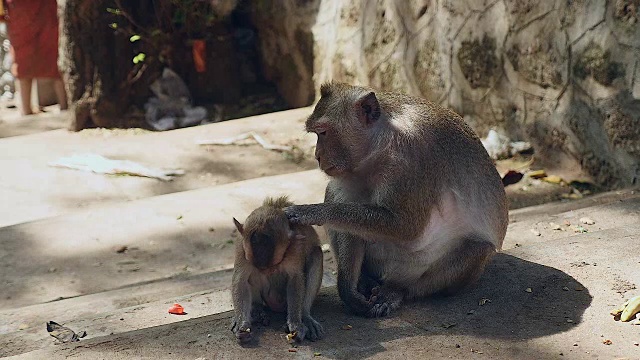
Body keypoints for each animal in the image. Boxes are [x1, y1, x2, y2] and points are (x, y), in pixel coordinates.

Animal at [230, 195, 324, 344]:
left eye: (275, 265)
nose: (275, 301)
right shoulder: (241, 246)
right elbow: (241, 280)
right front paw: (241, 325)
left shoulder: (296, 247)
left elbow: (295, 278)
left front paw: (295, 324)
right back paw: (256, 310)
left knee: (316, 254)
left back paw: (305, 316)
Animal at [286, 82, 510, 318]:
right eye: (317, 134)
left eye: (324, 132)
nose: (317, 156)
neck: (382, 143)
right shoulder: (349, 170)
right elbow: (348, 219)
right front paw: (348, 289)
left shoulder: (412, 155)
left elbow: (407, 227)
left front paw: (311, 211)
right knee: (333, 195)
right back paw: (365, 280)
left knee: (476, 248)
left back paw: (396, 290)